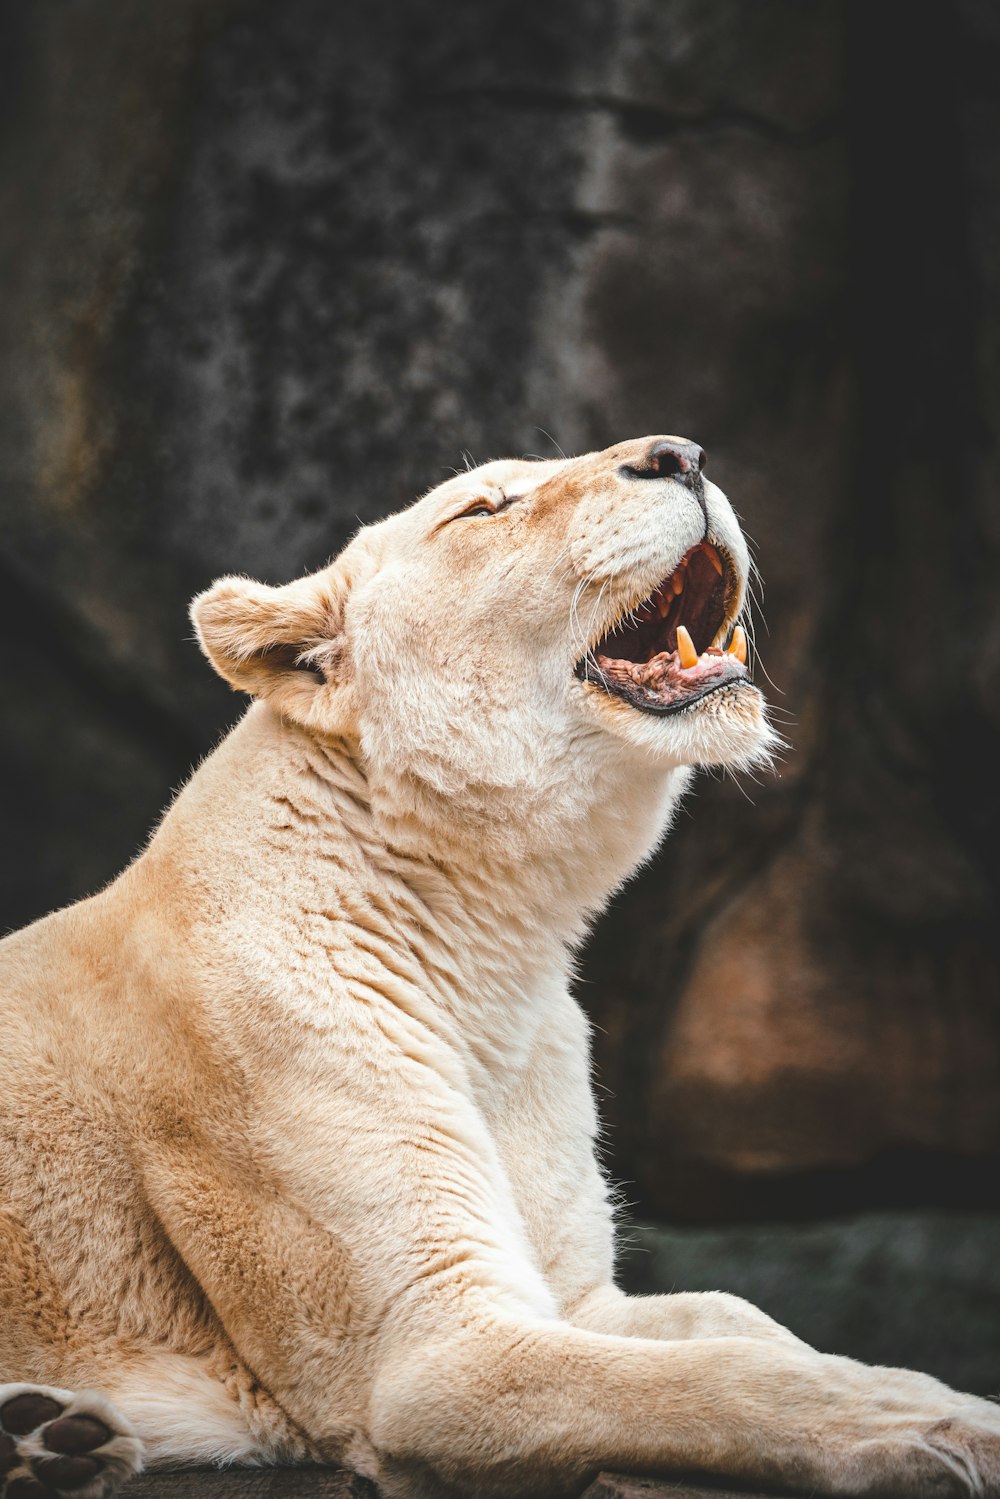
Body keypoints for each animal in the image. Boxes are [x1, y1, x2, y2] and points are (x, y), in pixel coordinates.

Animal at [1, 437, 1000, 1499]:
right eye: (485, 508)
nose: (681, 454)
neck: (493, 951)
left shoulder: (574, 1293)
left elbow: (741, 1321)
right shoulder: (431, 1350)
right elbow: (727, 1375)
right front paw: (946, 1426)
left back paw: (52, 1439)